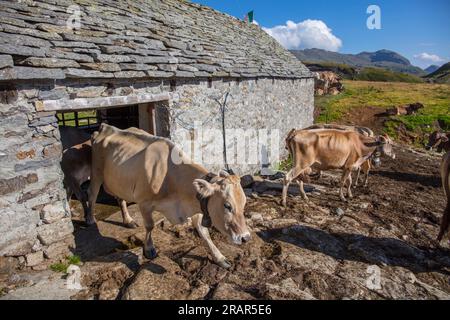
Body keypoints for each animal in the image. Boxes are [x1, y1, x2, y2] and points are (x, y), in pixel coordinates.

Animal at [87, 124, 250, 268]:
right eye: (227, 205)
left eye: (244, 204)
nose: (246, 237)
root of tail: (106, 127)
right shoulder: (144, 202)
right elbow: (150, 225)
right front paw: (149, 249)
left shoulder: (196, 204)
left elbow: (204, 232)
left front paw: (219, 257)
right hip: (96, 172)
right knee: (91, 194)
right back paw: (90, 220)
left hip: (118, 180)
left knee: (120, 198)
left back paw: (128, 220)